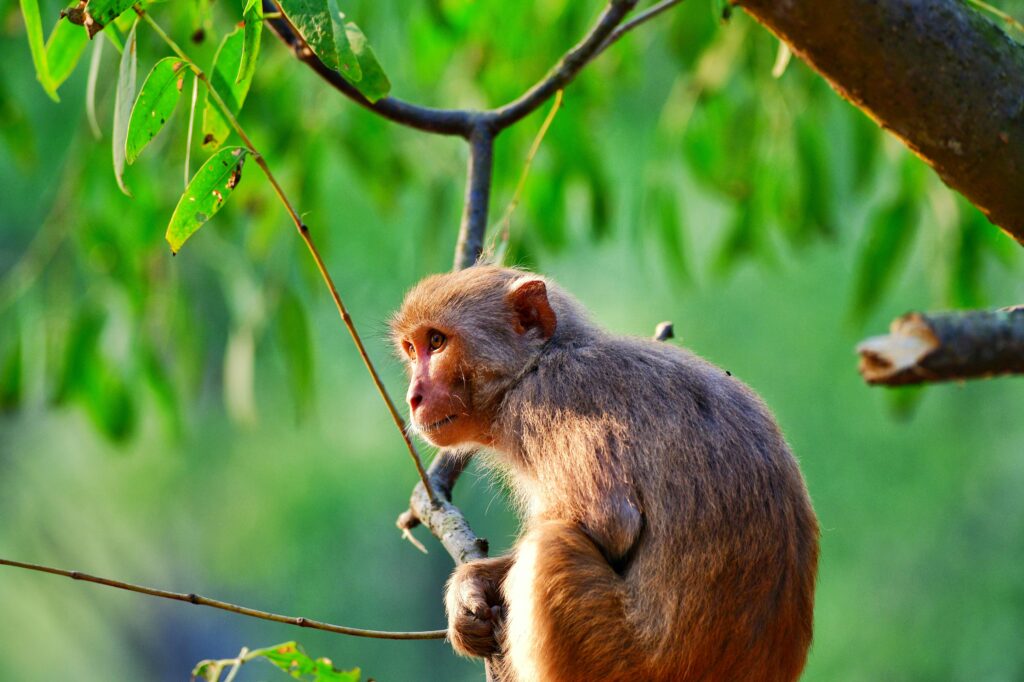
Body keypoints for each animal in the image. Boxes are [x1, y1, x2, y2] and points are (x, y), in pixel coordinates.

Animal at [390, 265, 818, 682]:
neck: (538, 363)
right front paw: (470, 590)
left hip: (620, 658)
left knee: (552, 546)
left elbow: (607, 521)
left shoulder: (548, 402)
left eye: (437, 342)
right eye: (413, 349)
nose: (414, 397)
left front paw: (472, 584)